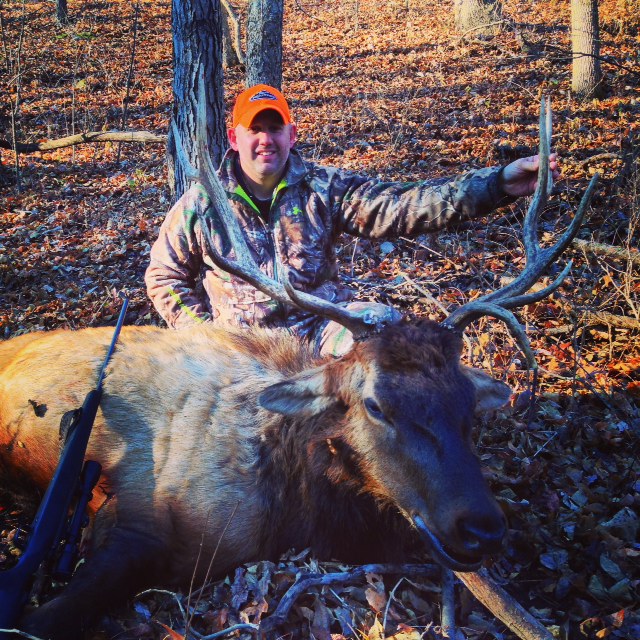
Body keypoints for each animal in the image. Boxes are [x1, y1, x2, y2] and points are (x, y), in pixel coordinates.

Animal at [0, 97, 597, 640]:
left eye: (468, 405)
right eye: (375, 404)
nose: (483, 528)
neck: (292, 504)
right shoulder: (141, 516)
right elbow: (38, 621)